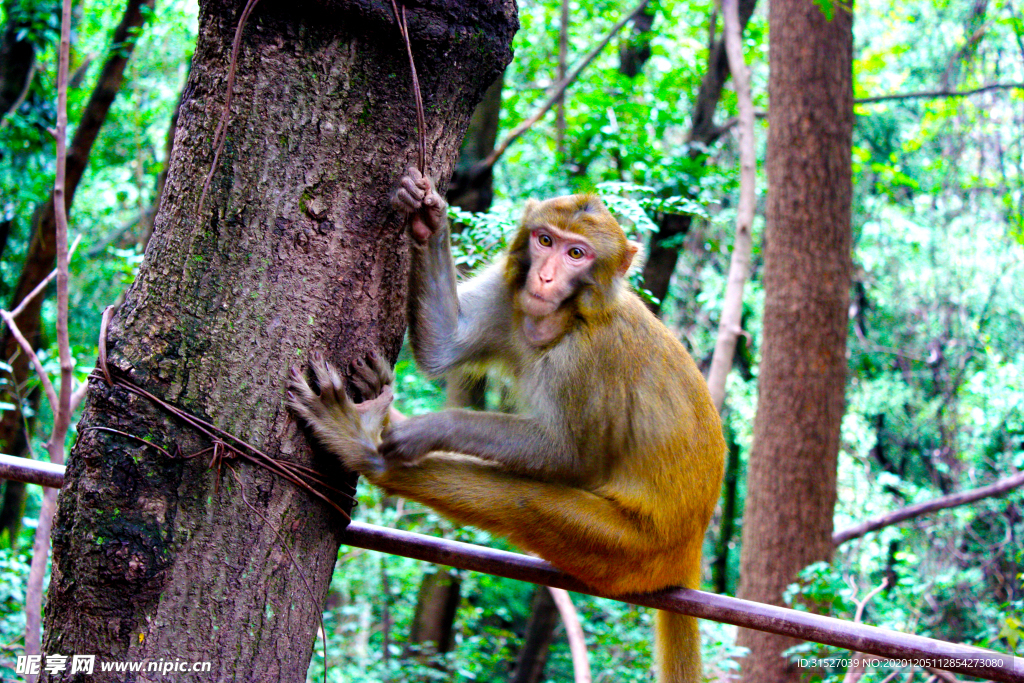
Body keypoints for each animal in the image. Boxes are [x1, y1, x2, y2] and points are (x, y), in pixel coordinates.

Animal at [284, 166, 724, 683]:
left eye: (577, 254)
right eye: (545, 240)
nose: (545, 277)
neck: (566, 318)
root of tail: (688, 555)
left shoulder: (590, 357)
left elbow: (570, 456)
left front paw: (430, 428)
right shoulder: (507, 294)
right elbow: (445, 346)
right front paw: (429, 218)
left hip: (631, 551)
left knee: (525, 502)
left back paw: (366, 447)